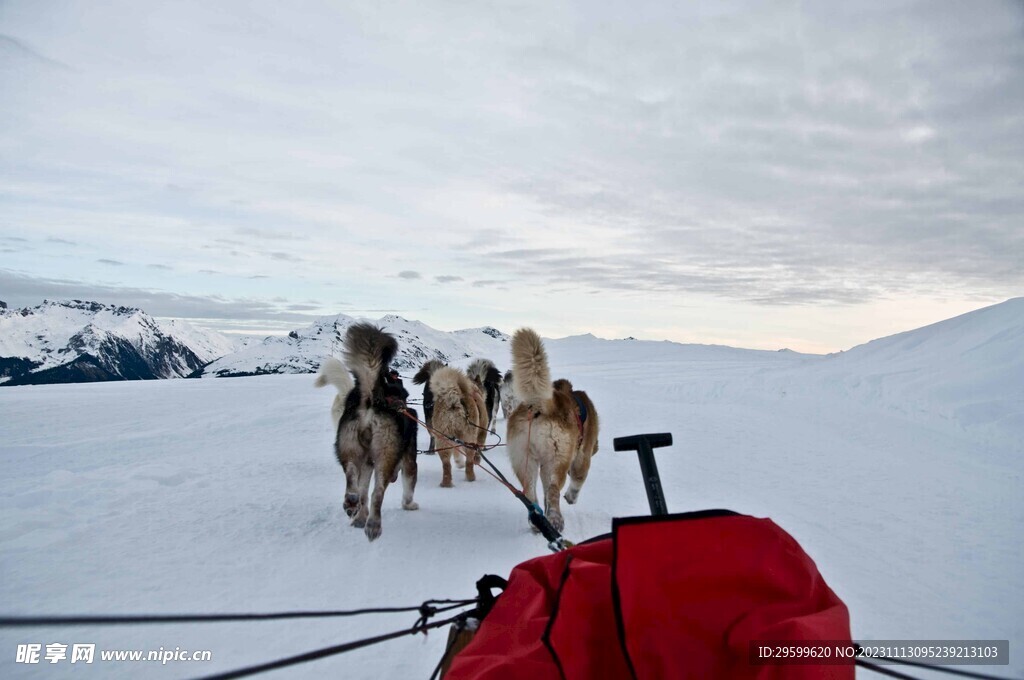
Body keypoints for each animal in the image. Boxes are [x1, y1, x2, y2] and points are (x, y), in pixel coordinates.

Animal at [505, 327, 598, 532]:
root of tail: (543, 404)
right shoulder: (582, 457)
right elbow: (578, 479)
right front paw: (571, 497)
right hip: (557, 460)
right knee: (554, 489)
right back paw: (555, 520)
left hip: (524, 459)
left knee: (530, 491)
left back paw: (537, 520)